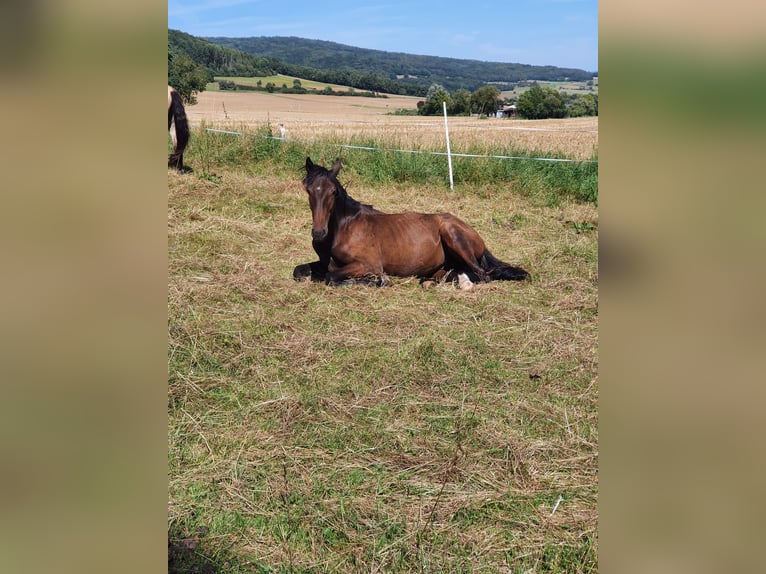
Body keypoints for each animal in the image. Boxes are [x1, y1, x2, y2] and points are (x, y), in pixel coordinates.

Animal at [292, 156, 532, 288]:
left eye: (333, 192)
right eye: (308, 190)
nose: (319, 233)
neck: (344, 227)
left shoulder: (368, 264)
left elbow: (331, 276)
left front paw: (378, 281)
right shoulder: (324, 262)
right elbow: (300, 271)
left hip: (453, 235)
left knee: (483, 275)